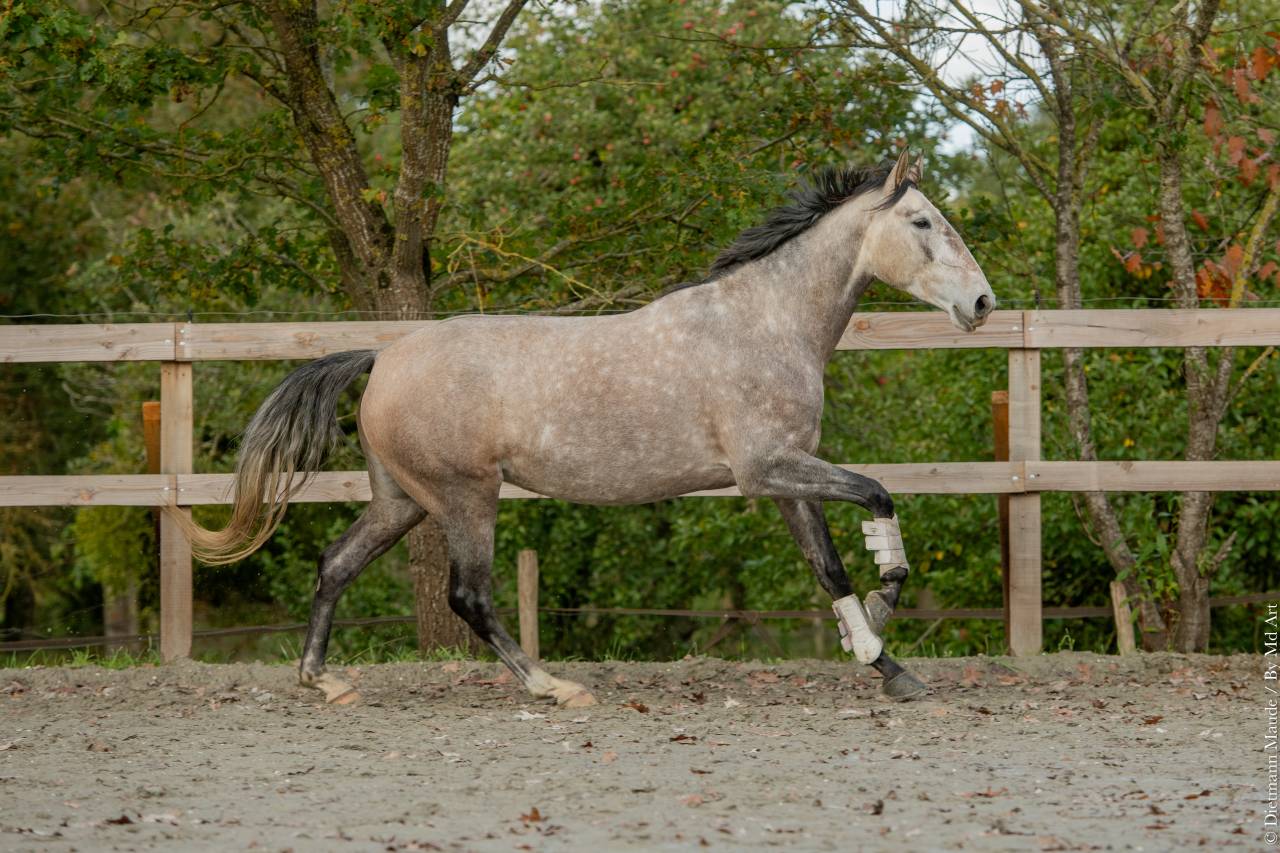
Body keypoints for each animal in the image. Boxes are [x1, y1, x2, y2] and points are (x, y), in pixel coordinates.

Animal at [177, 149, 996, 707]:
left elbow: (828, 566)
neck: (764, 323)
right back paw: (554, 686)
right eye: (923, 221)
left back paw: (324, 681)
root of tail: (383, 354)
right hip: (466, 496)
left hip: (402, 500)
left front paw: (887, 664)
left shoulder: (789, 474)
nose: (983, 303)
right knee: (469, 596)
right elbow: (879, 496)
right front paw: (885, 612)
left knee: (336, 565)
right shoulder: (767, 468)